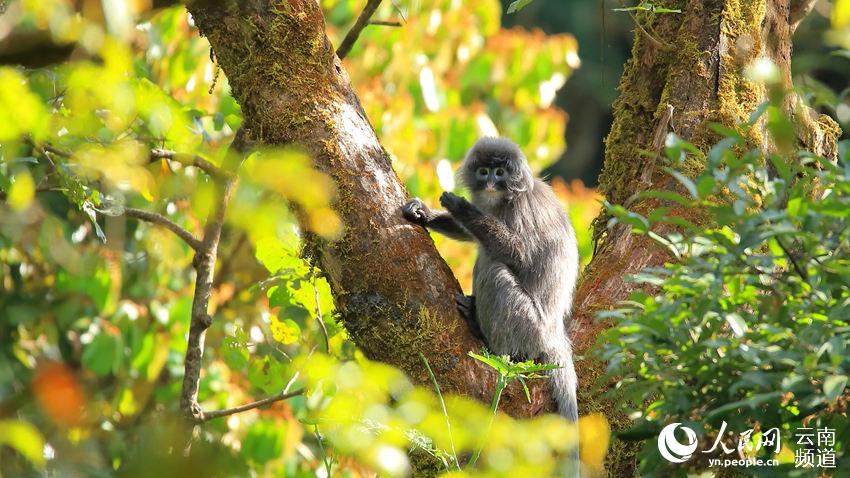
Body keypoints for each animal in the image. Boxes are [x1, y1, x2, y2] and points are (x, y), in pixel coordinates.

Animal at [400, 137, 580, 466]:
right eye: (483, 171)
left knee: (494, 265)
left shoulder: (521, 209)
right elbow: (472, 235)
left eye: (500, 172)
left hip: (527, 326)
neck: (503, 200)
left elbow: (518, 253)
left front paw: (461, 207)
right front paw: (424, 213)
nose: (492, 183)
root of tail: (553, 333)